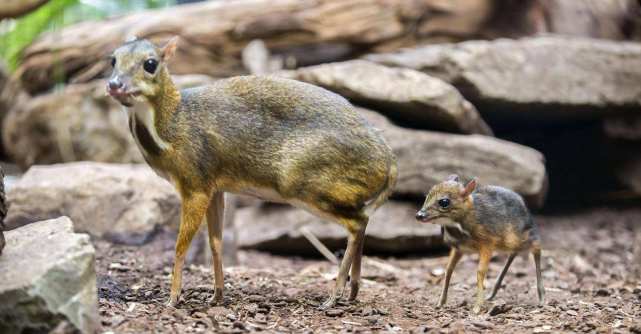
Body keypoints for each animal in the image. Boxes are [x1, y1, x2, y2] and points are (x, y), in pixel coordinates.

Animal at [105, 36, 396, 308]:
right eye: (112, 60)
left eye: (150, 63)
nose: (114, 85)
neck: (173, 127)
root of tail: (389, 160)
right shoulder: (215, 187)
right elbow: (216, 241)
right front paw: (217, 295)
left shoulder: (195, 184)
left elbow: (180, 245)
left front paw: (173, 298)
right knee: (363, 221)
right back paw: (353, 291)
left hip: (308, 185)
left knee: (357, 223)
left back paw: (334, 296)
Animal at [416, 176, 544, 314]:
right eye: (426, 196)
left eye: (444, 202)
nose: (419, 215)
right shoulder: (458, 248)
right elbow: (449, 269)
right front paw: (440, 303)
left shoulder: (487, 244)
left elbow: (480, 272)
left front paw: (477, 307)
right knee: (514, 253)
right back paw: (492, 294)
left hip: (522, 237)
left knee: (536, 247)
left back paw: (542, 297)